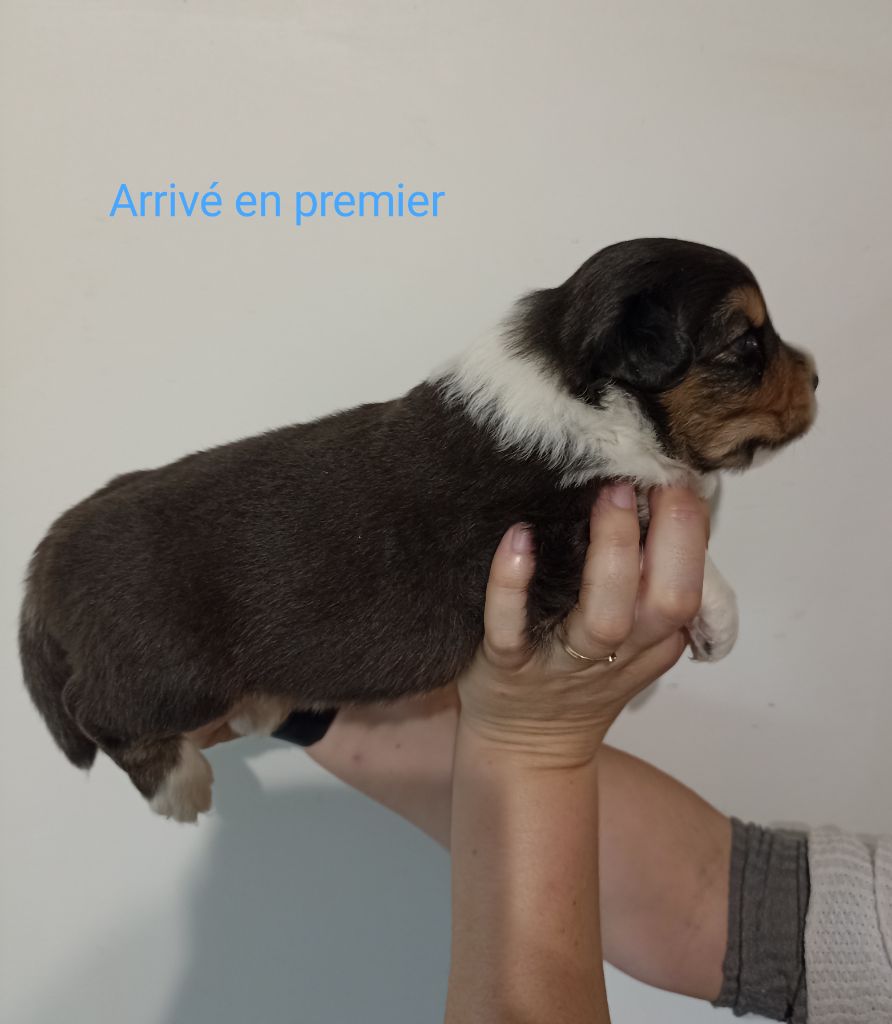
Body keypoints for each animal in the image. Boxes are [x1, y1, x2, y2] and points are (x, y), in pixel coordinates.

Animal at [19, 238, 818, 822]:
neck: (584, 392)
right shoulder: (564, 536)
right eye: (747, 344)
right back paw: (178, 786)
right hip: (167, 672)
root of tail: (48, 553)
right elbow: (667, 528)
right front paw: (722, 617)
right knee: (94, 710)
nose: (817, 377)